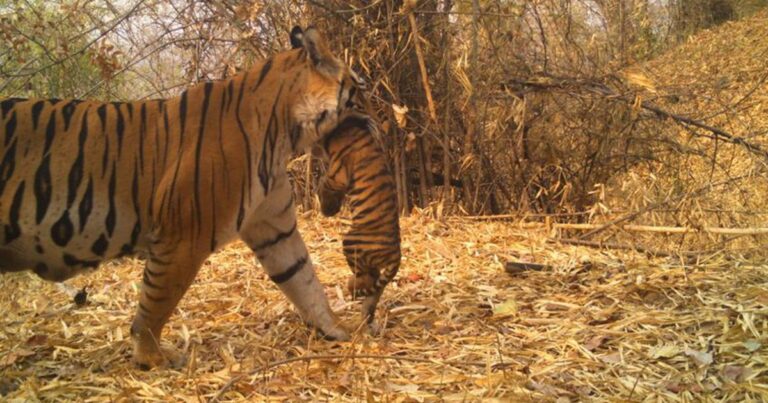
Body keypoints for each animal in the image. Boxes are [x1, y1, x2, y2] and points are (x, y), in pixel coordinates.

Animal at [0, 26, 368, 369]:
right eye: (357, 92)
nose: (373, 118)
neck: (283, 134)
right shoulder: (183, 238)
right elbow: (157, 302)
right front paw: (151, 357)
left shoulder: (273, 225)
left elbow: (304, 278)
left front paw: (337, 328)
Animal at [317, 113, 401, 331]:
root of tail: (396, 256)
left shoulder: (337, 175)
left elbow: (324, 185)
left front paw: (327, 208)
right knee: (374, 289)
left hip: (351, 242)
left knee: (365, 279)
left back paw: (350, 285)